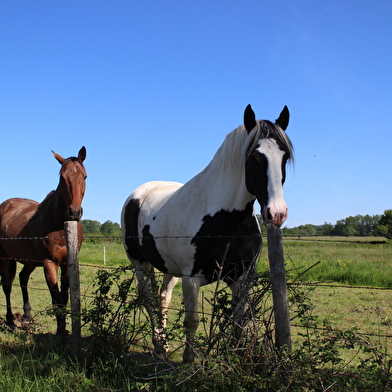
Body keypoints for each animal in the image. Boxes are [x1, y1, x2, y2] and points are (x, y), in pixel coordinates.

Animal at [0, 146, 86, 334]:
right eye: (62, 177)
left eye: (84, 176)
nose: (74, 212)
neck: (59, 226)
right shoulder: (49, 263)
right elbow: (57, 300)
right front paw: (61, 332)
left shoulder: (66, 264)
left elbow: (64, 298)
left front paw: (63, 329)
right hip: (5, 258)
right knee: (7, 286)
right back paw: (10, 321)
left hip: (29, 261)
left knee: (23, 279)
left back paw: (27, 318)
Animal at [121, 104, 292, 362]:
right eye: (255, 157)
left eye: (284, 156)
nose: (277, 213)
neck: (226, 219)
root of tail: (137, 194)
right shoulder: (191, 279)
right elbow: (191, 321)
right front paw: (189, 360)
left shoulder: (242, 278)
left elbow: (239, 323)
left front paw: (237, 358)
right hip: (140, 264)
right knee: (148, 299)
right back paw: (159, 343)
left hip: (170, 269)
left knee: (162, 297)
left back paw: (164, 343)